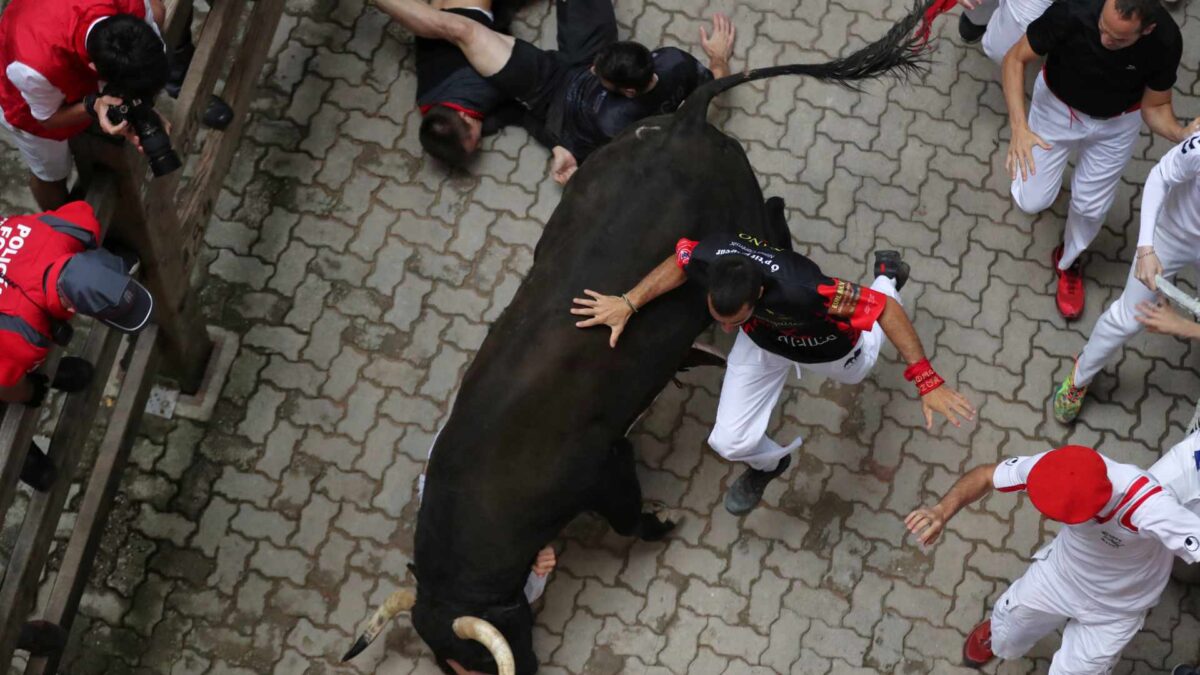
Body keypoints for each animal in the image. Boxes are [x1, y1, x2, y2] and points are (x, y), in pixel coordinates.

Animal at [343, 3, 931, 667]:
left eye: (479, 658)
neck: (483, 482)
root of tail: (683, 124)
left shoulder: (606, 467)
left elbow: (628, 520)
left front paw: (664, 519)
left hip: (747, 217)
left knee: (776, 214)